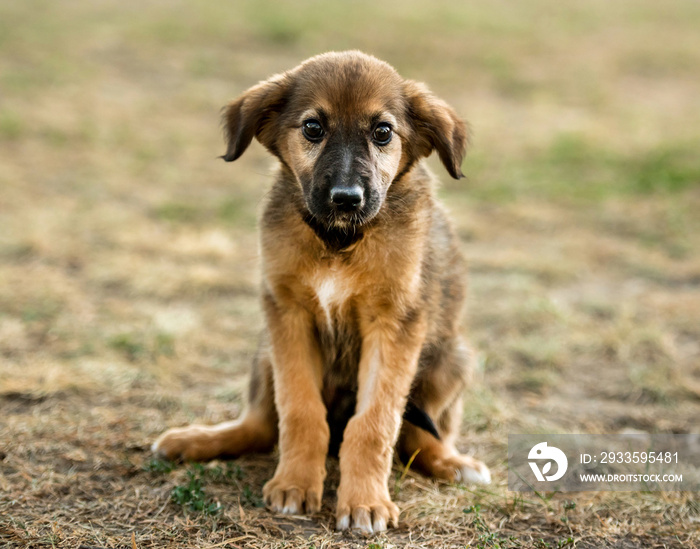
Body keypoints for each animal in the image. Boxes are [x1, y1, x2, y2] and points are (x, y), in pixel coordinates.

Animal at [152, 50, 492, 532]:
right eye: (313, 127)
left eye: (382, 132)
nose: (346, 198)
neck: (338, 241)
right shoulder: (287, 314)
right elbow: (299, 410)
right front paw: (295, 483)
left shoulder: (395, 323)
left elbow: (375, 423)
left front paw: (366, 502)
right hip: (264, 353)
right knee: (260, 426)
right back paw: (194, 441)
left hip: (452, 358)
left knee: (416, 439)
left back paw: (453, 463)